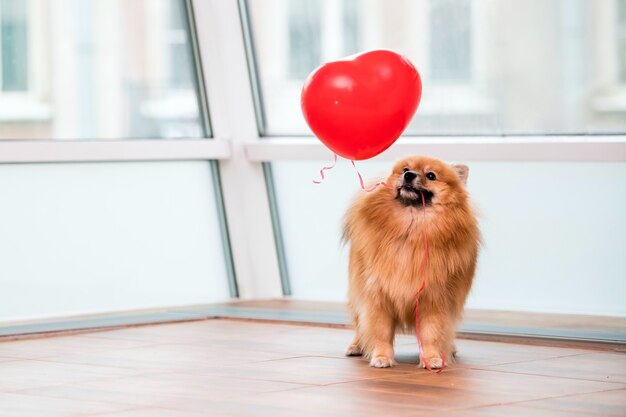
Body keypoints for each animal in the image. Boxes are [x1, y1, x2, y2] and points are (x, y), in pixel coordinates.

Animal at [342, 154, 478, 368]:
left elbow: (432, 333)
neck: (412, 227)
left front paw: (432, 358)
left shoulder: (434, 299)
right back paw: (356, 346)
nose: (408, 175)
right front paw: (381, 357)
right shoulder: (377, 296)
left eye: (431, 175)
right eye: (405, 169)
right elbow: (380, 331)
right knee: (359, 325)